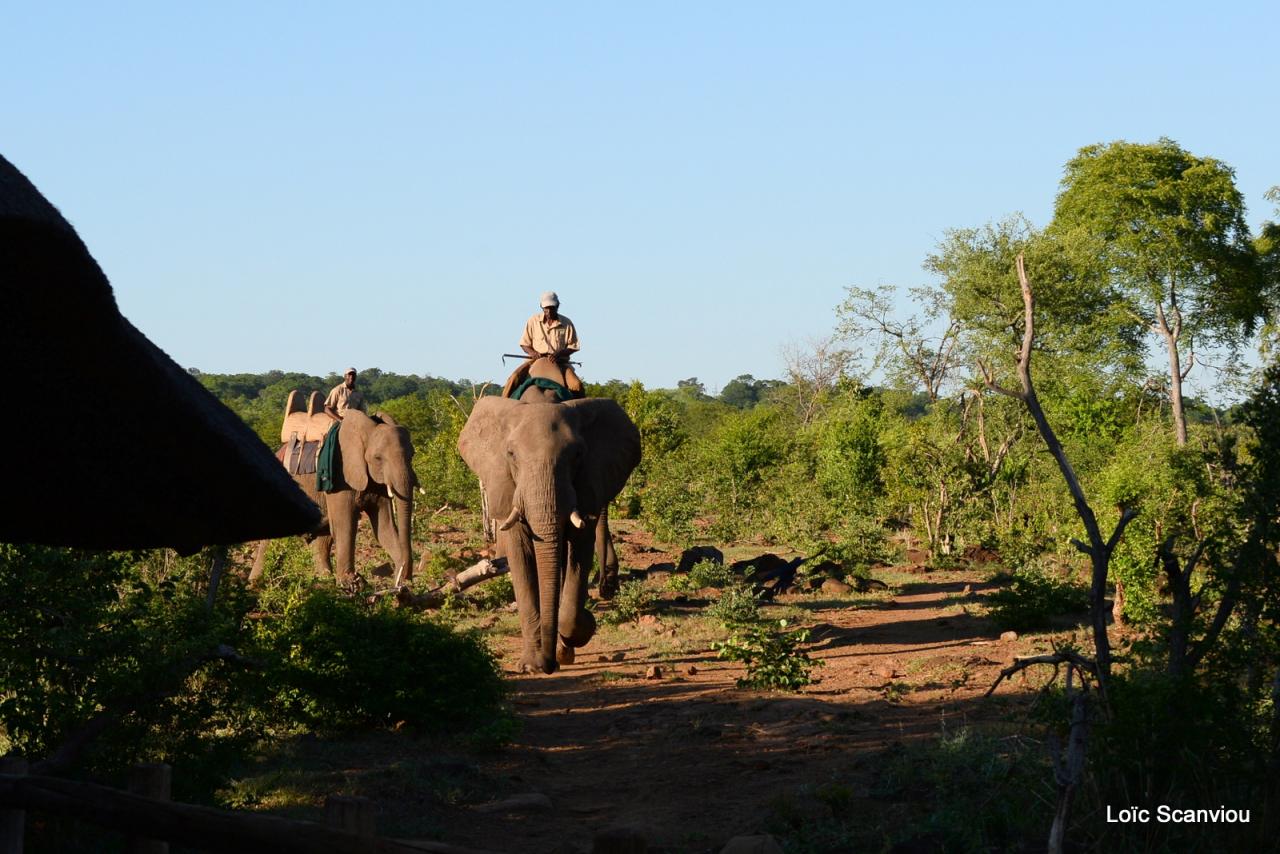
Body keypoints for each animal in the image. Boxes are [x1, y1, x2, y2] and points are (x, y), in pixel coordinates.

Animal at [253, 409, 419, 588]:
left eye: (412, 455)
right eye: (378, 458)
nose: (400, 579)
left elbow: (384, 526)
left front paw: (403, 582)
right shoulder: (339, 475)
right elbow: (345, 524)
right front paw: (351, 583)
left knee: (322, 539)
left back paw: (325, 581)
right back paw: (255, 584)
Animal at [458, 396, 640, 676]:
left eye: (578, 454)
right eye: (511, 455)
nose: (549, 666)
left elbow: (579, 551)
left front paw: (582, 630)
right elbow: (520, 558)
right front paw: (531, 666)